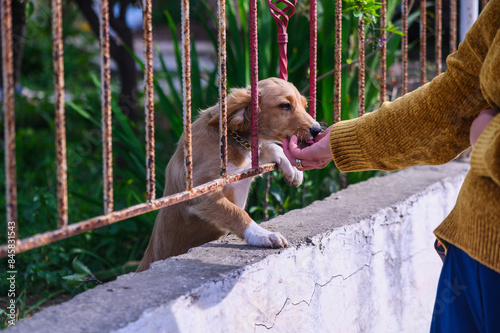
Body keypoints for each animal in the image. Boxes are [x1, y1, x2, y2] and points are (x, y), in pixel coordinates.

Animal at [138, 78, 320, 270]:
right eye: (285, 105)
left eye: (304, 105)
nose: (318, 130)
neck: (229, 139)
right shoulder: (200, 191)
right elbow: (236, 213)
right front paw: (262, 234)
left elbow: (267, 147)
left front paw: (292, 168)